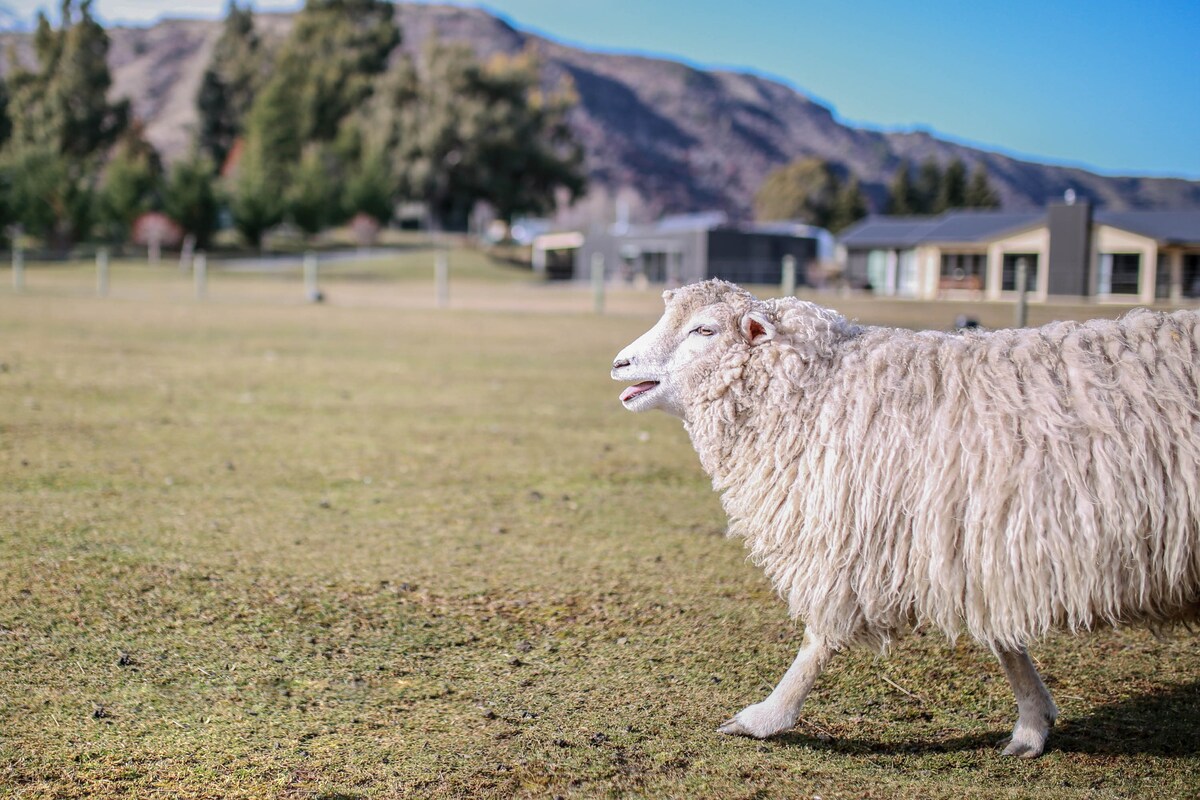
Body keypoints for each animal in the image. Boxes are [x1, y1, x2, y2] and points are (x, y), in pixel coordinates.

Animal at [609, 280, 1200, 758]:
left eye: (704, 329)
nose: (619, 364)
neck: (822, 392)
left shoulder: (864, 533)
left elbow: (821, 636)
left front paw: (766, 717)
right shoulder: (968, 536)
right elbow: (1003, 639)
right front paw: (1034, 723)